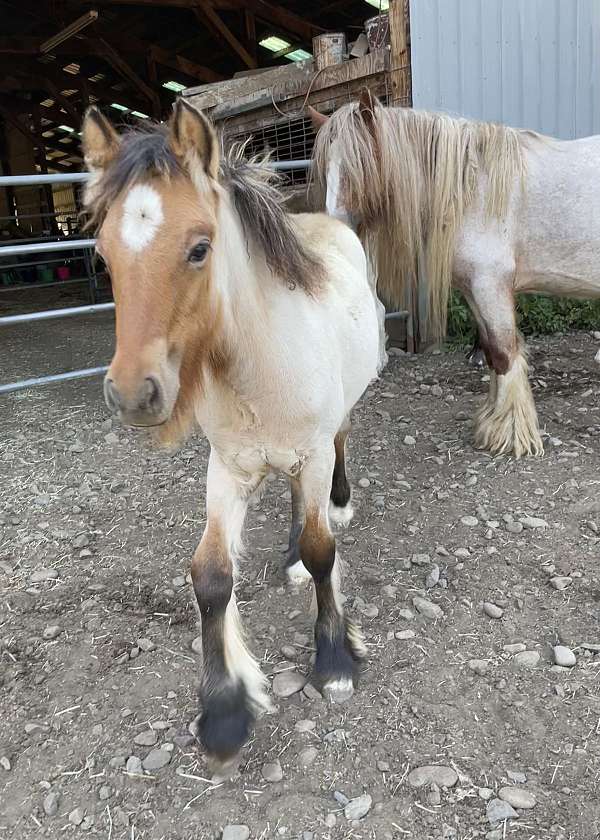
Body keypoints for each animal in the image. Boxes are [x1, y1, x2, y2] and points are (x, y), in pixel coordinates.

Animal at [81, 101, 380, 772]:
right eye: (104, 256)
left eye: (199, 248)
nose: (133, 394)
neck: (260, 364)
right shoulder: (229, 469)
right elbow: (211, 576)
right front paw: (223, 712)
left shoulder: (312, 452)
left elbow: (324, 553)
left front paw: (334, 663)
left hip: (337, 423)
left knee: (339, 454)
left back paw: (338, 507)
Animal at [312, 90, 600, 460]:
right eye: (324, 169)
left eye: (359, 163)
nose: (334, 231)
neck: (475, 191)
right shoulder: (474, 290)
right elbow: (491, 352)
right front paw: (491, 423)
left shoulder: (491, 286)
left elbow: (505, 354)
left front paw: (510, 435)